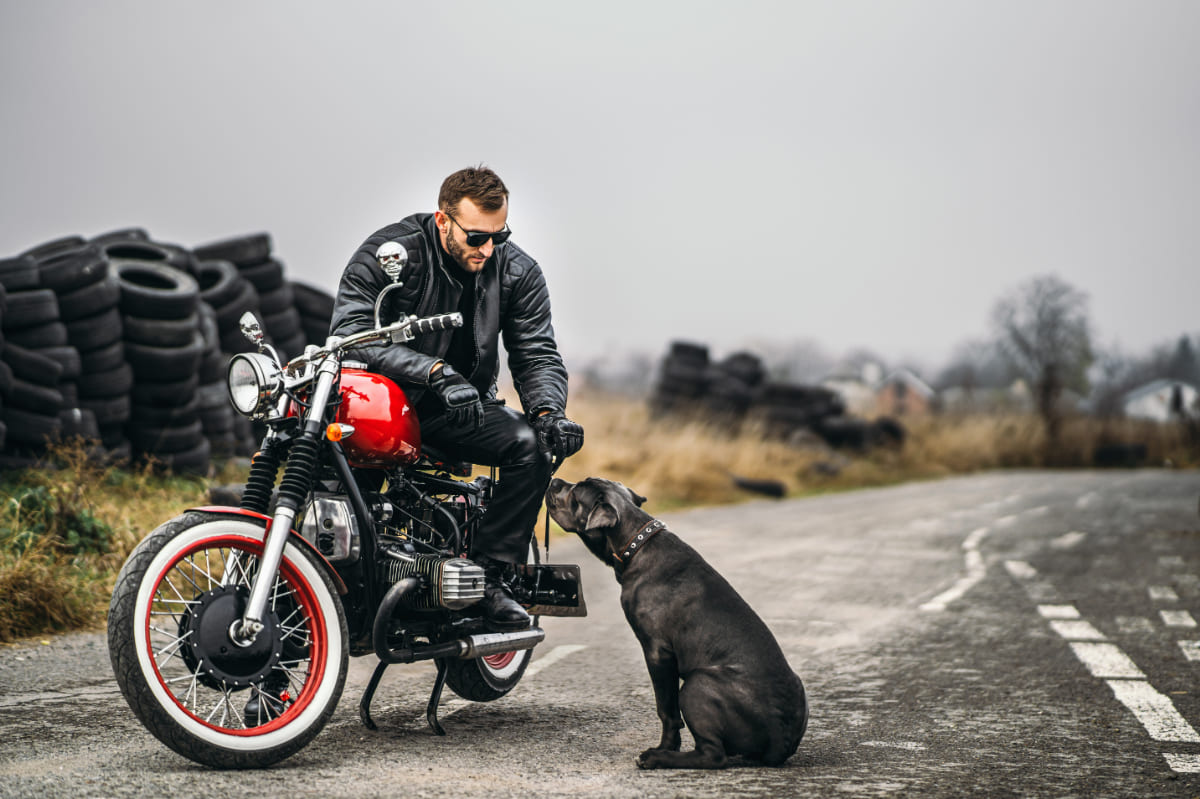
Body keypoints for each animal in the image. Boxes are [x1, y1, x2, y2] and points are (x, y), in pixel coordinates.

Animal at [549, 472, 811, 767]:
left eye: (575, 493)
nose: (555, 480)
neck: (635, 542)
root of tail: (782, 742)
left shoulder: (657, 652)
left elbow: (666, 709)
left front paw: (665, 747)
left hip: (698, 685)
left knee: (712, 755)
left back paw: (659, 758)